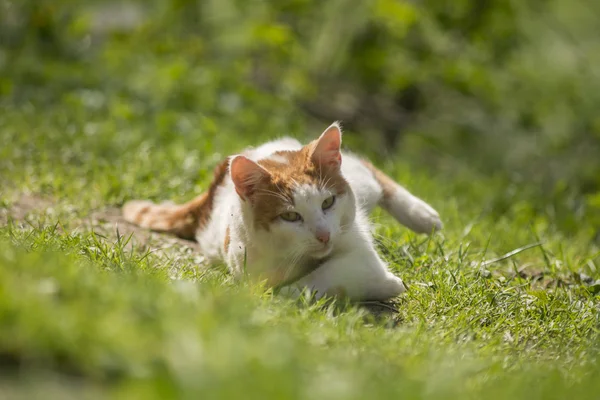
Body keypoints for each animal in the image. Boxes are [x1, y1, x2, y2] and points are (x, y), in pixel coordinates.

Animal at [123, 123, 440, 302]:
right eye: (290, 216)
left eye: (328, 203)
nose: (324, 236)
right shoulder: (253, 269)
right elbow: (294, 287)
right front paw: (388, 284)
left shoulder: (355, 244)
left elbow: (336, 271)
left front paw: (388, 284)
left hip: (359, 182)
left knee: (366, 166)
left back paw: (424, 216)